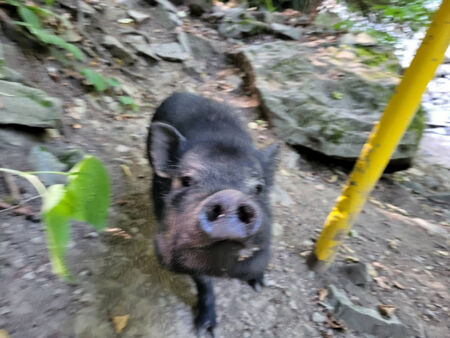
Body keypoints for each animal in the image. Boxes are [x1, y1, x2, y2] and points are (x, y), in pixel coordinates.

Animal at [148, 92, 278, 332]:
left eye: (259, 188)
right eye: (185, 180)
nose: (230, 196)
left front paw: (259, 285)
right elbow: (202, 280)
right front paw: (205, 330)